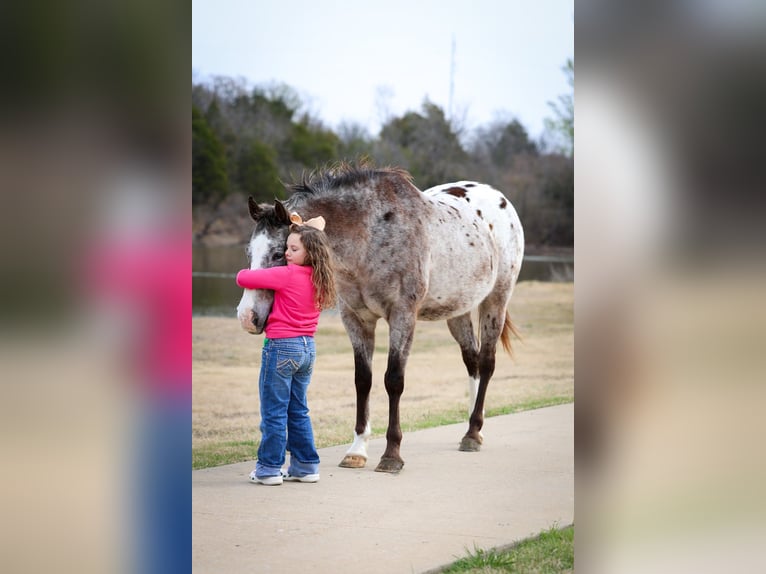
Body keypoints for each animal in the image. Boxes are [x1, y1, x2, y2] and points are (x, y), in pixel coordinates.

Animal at [237, 163, 524, 473]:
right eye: (249, 252)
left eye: (280, 253)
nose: (247, 317)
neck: (370, 235)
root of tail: (500, 199)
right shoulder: (356, 318)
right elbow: (363, 380)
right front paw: (357, 450)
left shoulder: (402, 315)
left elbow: (393, 380)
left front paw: (391, 454)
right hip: (457, 310)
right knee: (471, 361)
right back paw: (473, 430)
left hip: (496, 300)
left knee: (486, 363)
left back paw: (473, 432)